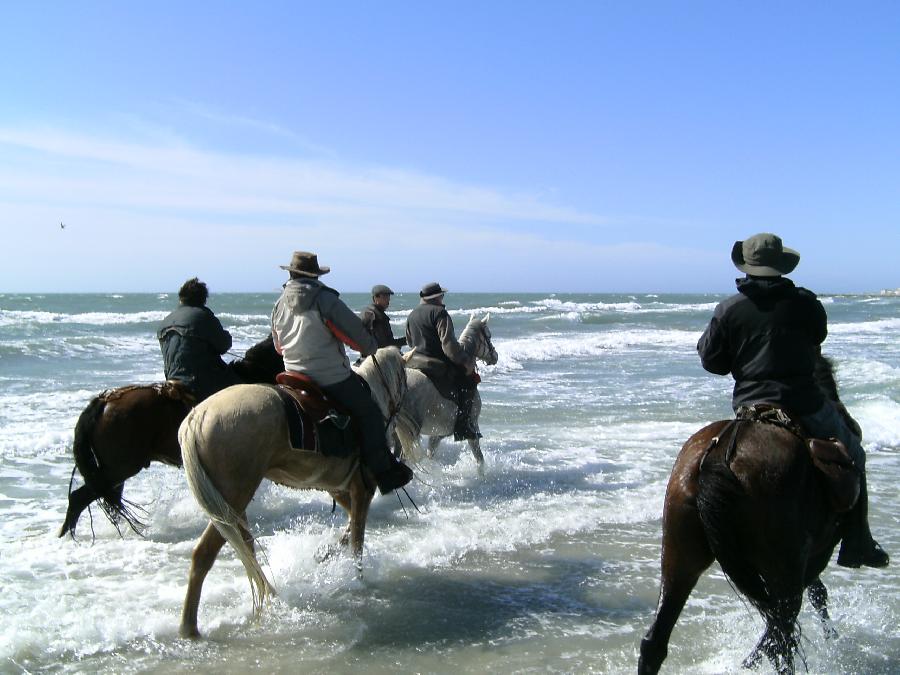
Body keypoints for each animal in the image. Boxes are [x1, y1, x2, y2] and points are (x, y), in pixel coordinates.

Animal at [177, 348, 414, 640]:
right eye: (405, 381)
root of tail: (196, 417)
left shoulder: (336, 486)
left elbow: (350, 524)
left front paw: (329, 551)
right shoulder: (363, 488)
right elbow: (358, 540)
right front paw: (358, 580)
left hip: (231, 505)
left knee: (246, 549)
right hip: (233, 497)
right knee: (205, 553)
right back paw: (190, 628)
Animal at [636, 356, 860, 672]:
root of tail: (720, 457)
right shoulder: (813, 556)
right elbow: (816, 596)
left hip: (679, 557)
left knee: (656, 641)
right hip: (783, 567)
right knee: (783, 636)